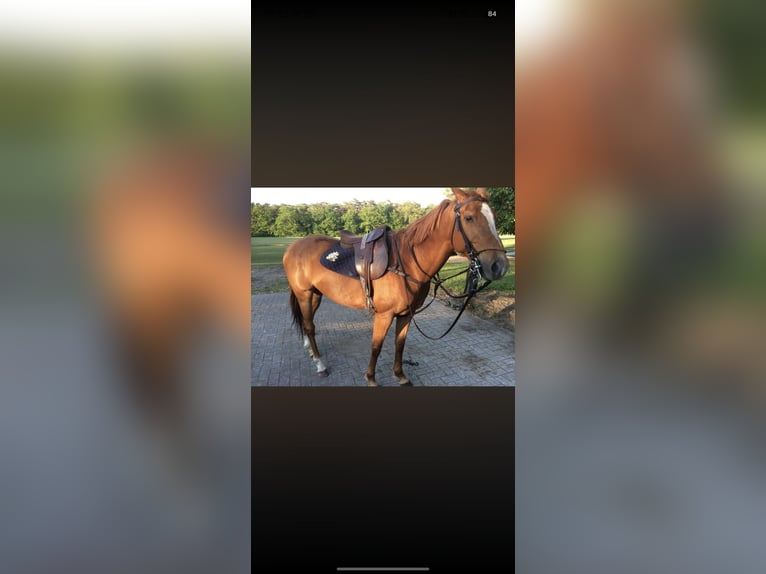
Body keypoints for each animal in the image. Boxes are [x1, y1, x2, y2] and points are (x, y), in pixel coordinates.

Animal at [282, 187, 509, 386]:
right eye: (469, 218)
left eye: (495, 217)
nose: (499, 266)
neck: (406, 262)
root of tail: (293, 247)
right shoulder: (384, 315)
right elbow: (376, 346)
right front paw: (371, 378)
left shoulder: (406, 314)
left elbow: (399, 344)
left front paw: (400, 375)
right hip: (304, 294)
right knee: (310, 326)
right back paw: (320, 364)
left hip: (315, 295)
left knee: (307, 322)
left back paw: (310, 350)